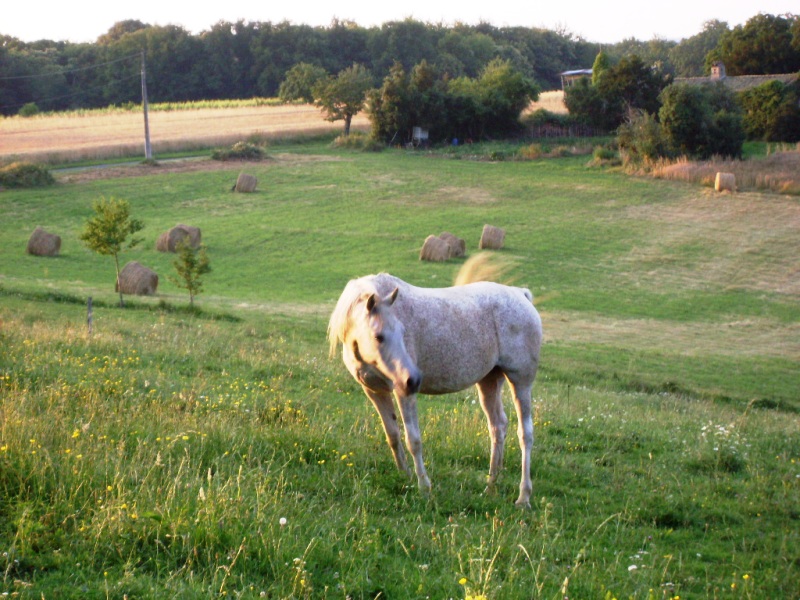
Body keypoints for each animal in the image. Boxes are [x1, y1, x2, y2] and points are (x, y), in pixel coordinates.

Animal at [327, 256, 542, 507]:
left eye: (403, 332)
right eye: (378, 336)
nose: (414, 379)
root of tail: (521, 295)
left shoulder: (403, 392)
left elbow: (413, 440)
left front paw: (424, 487)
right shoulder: (374, 391)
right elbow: (393, 435)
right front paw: (405, 477)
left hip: (521, 382)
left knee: (525, 434)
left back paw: (523, 497)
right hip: (489, 381)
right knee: (497, 426)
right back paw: (490, 486)